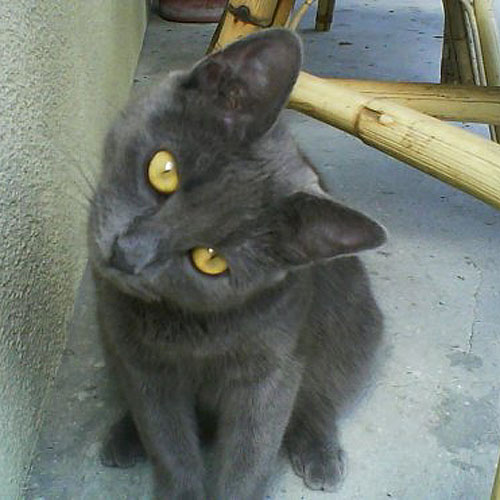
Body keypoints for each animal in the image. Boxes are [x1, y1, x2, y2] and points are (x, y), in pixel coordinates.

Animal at [88, 28, 386, 500]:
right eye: (164, 170)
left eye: (211, 259)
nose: (127, 253)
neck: (187, 328)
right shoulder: (140, 360)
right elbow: (167, 440)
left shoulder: (270, 371)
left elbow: (252, 452)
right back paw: (124, 436)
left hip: (358, 323)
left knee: (322, 397)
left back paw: (319, 451)